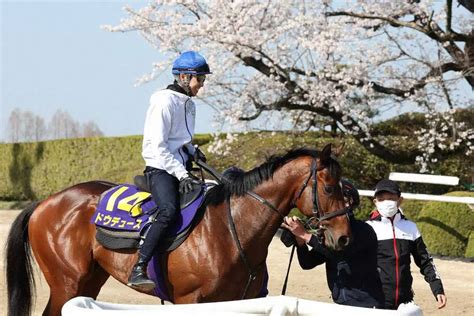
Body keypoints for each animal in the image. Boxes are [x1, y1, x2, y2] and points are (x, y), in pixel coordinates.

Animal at [3, 144, 352, 316]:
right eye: (330, 187)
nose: (343, 237)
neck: (232, 229)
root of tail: (46, 202)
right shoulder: (190, 301)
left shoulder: (241, 301)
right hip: (67, 283)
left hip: (89, 281)